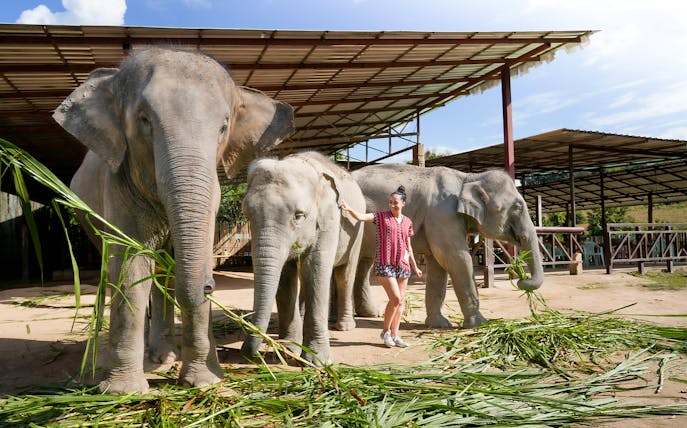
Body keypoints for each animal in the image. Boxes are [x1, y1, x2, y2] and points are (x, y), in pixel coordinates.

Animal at [52, 48, 294, 394]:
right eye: (144, 120)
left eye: (224, 127)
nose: (209, 285)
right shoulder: (118, 185)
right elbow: (131, 267)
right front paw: (122, 392)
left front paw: (204, 383)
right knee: (114, 269)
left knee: (164, 274)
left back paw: (163, 356)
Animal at [240, 151, 365, 365]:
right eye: (247, 213)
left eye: (299, 216)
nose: (247, 354)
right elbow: (286, 275)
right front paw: (288, 350)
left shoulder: (330, 219)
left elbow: (315, 268)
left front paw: (318, 362)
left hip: (358, 230)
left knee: (344, 275)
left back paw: (344, 326)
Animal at [351, 164, 544, 328]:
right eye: (518, 207)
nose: (520, 279)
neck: (468, 178)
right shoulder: (443, 215)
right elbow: (457, 260)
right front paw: (480, 324)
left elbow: (438, 266)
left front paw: (439, 324)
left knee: (363, 261)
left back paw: (370, 314)